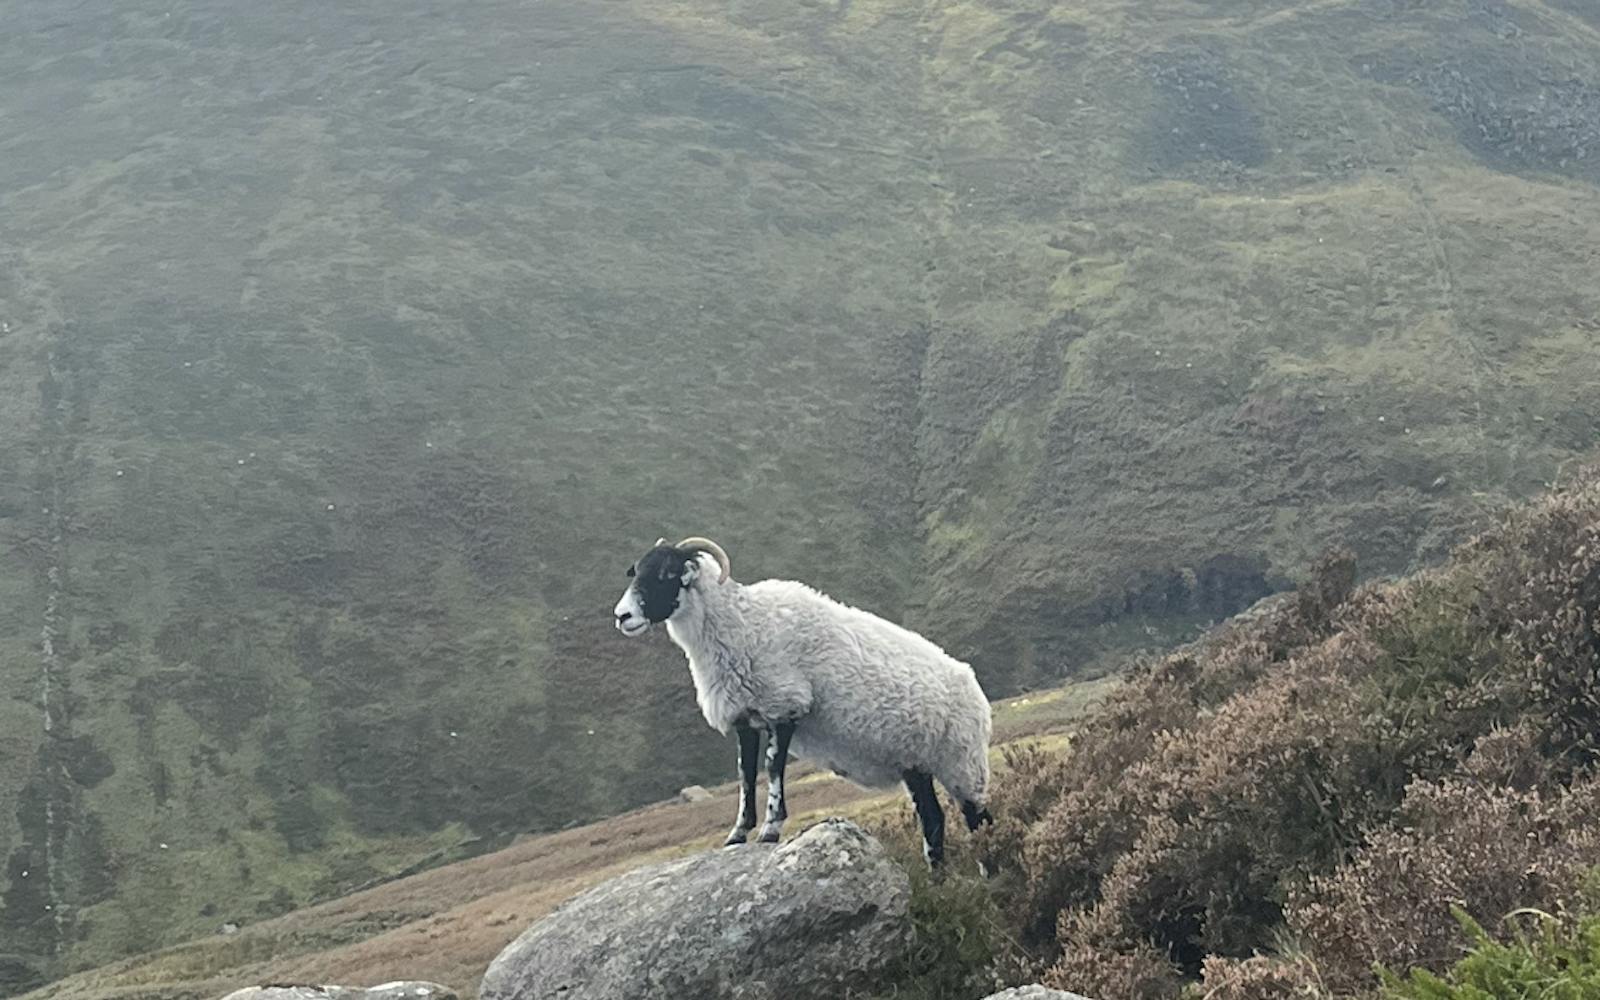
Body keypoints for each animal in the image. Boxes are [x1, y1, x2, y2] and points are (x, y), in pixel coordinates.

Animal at [612, 536, 993, 867]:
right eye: (637, 570)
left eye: (667, 572)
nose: (622, 616)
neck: (742, 623)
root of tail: (974, 686)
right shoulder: (744, 715)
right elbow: (745, 775)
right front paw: (737, 834)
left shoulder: (785, 705)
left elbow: (772, 769)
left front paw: (770, 829)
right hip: (916, 763)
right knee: (934, 820)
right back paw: (937, 880)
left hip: (962, 761)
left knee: (979, 819)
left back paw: (989, 874)